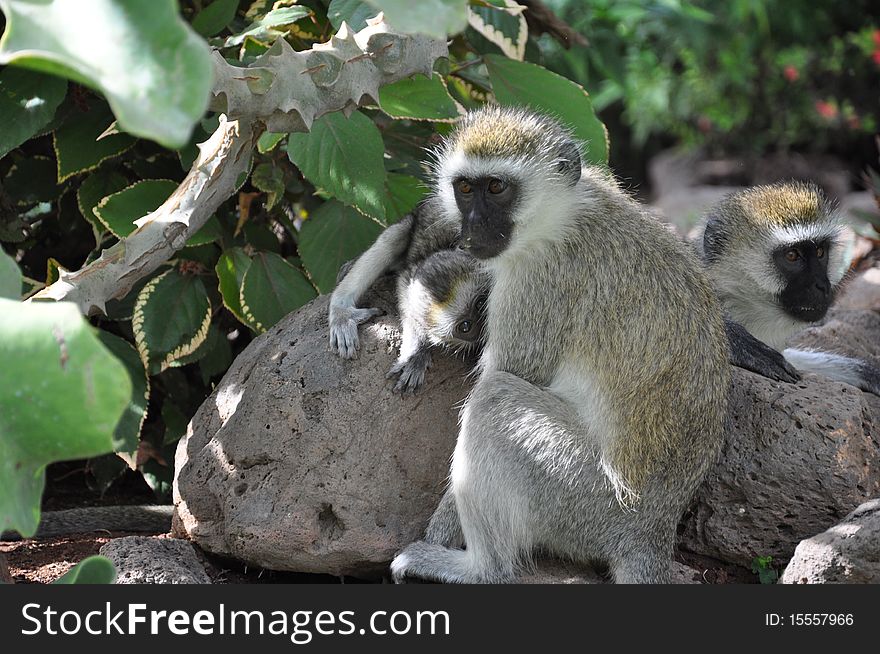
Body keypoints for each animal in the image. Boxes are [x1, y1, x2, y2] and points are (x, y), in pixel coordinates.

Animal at [392, 105, 728, 588]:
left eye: (497, 188)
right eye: (466, 188)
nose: (472, 226)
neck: (561, 213)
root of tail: (650, 529)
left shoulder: (538, 278)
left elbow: (508, 373)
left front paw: (438, 533)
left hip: (577, 493)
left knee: (495, 399)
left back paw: (478, 569)